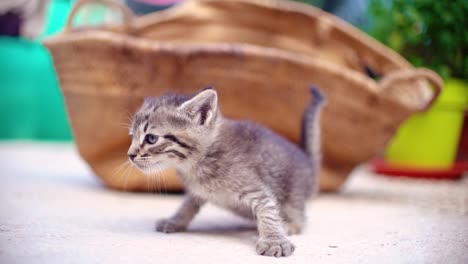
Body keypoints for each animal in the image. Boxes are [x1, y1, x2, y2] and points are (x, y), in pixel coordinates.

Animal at [128, 86, 326, 258]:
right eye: (132, 136)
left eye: (151, 138)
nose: (130, 155)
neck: (197, 163)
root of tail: (307, 161)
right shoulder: (198, 191)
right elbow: (187, 206)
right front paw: (175, 221)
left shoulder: (255, 188)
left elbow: (268, 211)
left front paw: (274, 240)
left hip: (294, 196)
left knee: (299, 218)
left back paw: (289, 225)